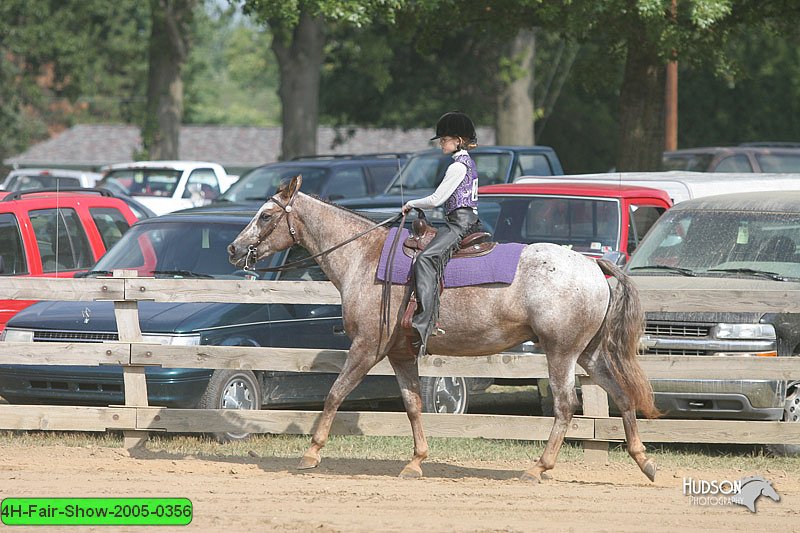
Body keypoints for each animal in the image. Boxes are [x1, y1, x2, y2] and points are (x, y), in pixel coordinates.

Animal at [228, 176, 660, 482]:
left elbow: (335, 393)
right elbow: (413, 404)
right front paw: (416, 461)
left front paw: (311, 453)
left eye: (265, 216)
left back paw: (539, 467)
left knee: (566, 406)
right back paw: (644, 461)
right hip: (590, 353)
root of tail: (594, 266)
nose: (233, 250)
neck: (364, 257)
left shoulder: (367, 347)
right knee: (623, 395)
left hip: (562, 353)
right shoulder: (400, 353)